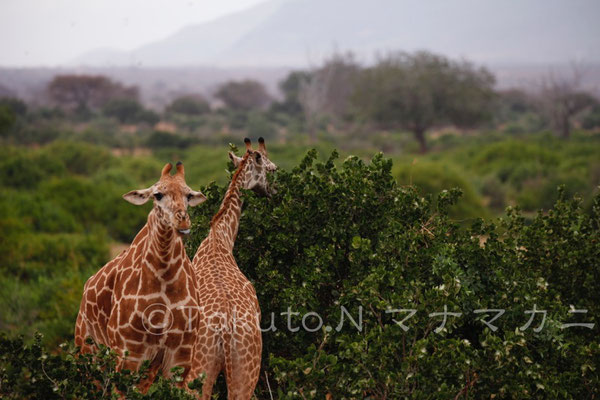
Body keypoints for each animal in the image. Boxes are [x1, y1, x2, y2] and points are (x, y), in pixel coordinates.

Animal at [74, 161, 207, 392]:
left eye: (189, 195)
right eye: (157, 195)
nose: (182, 222)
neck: (165, 279)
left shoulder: (181, 355)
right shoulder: (128, 352)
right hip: (88, 352)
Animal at [189, 138, 278, 400]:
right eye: (272, 169)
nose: (274, 193)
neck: (220, 238)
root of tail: (226, 331)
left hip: (201, 368)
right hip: (245, 372)